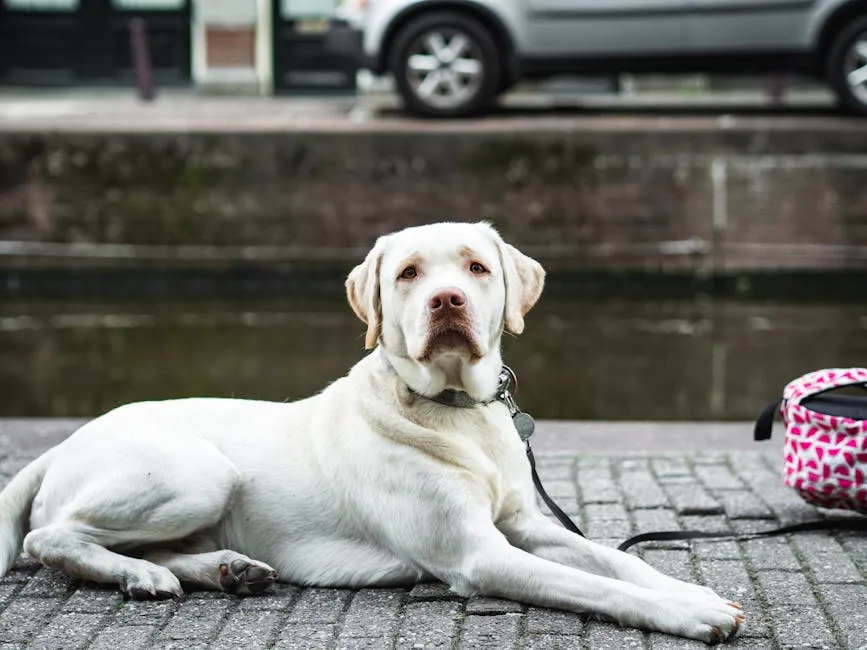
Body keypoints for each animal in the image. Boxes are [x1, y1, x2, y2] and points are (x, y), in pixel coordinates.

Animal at [0, 221, 744, 636]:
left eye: (476, 266)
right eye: (409, 272)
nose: (447, 301)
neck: (457, 411)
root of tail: (63, 443)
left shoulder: (524, 524)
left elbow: (618, 561)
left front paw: (692, 591)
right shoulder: (477, 554)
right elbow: (599, 586)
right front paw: (692, 615)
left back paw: (225, 570)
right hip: (198, 474)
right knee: (49, 537)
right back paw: (140, 576)